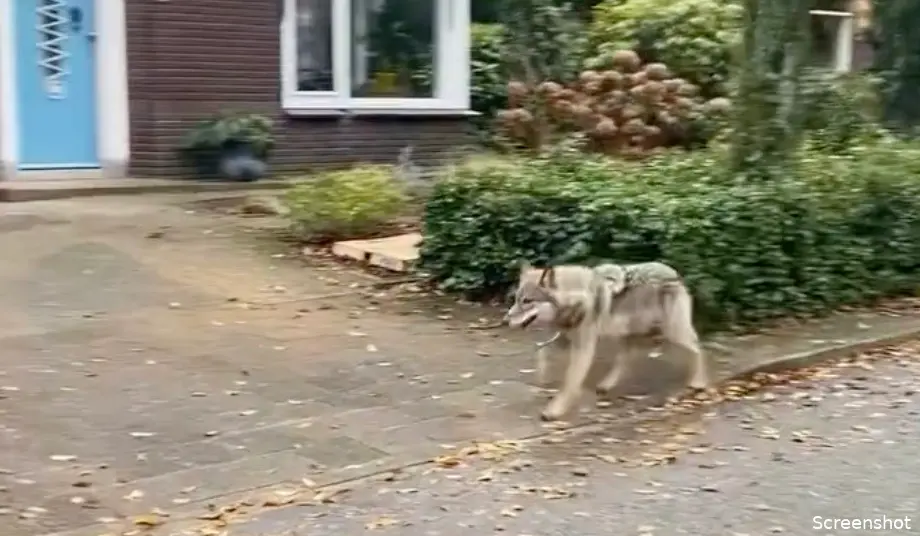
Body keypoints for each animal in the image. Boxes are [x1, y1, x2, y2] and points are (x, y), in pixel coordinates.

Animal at [503, 261, 709, 421]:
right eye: (516, 300)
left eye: (527, 301)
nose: (504, 321)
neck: (576, 297)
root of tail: (673, 272)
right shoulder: (563, 338)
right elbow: (542, 353)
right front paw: (542, 379)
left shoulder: (583, 347)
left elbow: (570, 381)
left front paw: (554, 411)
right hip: (632, 332)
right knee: (629, 357)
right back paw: (606, 385)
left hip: (673, 332)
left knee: (697, 347)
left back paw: (698, 382)